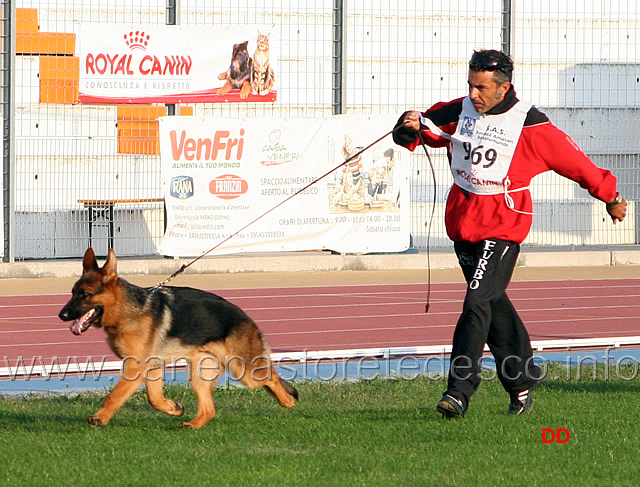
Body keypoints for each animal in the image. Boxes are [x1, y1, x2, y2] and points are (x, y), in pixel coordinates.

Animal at [58, 250, 298, 428]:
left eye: (84, 294)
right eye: (72, 292)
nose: (62, 315)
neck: (126, 310)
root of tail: (246, 317)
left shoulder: (134, 368)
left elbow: (114, 396)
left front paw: (100, 418)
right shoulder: (152, 368)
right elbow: (154, 399)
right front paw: (173, 408)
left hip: (244, 371)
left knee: (272, 377)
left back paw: (287, 401)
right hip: (200, 374)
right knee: (210, 409)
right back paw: (194, 424)